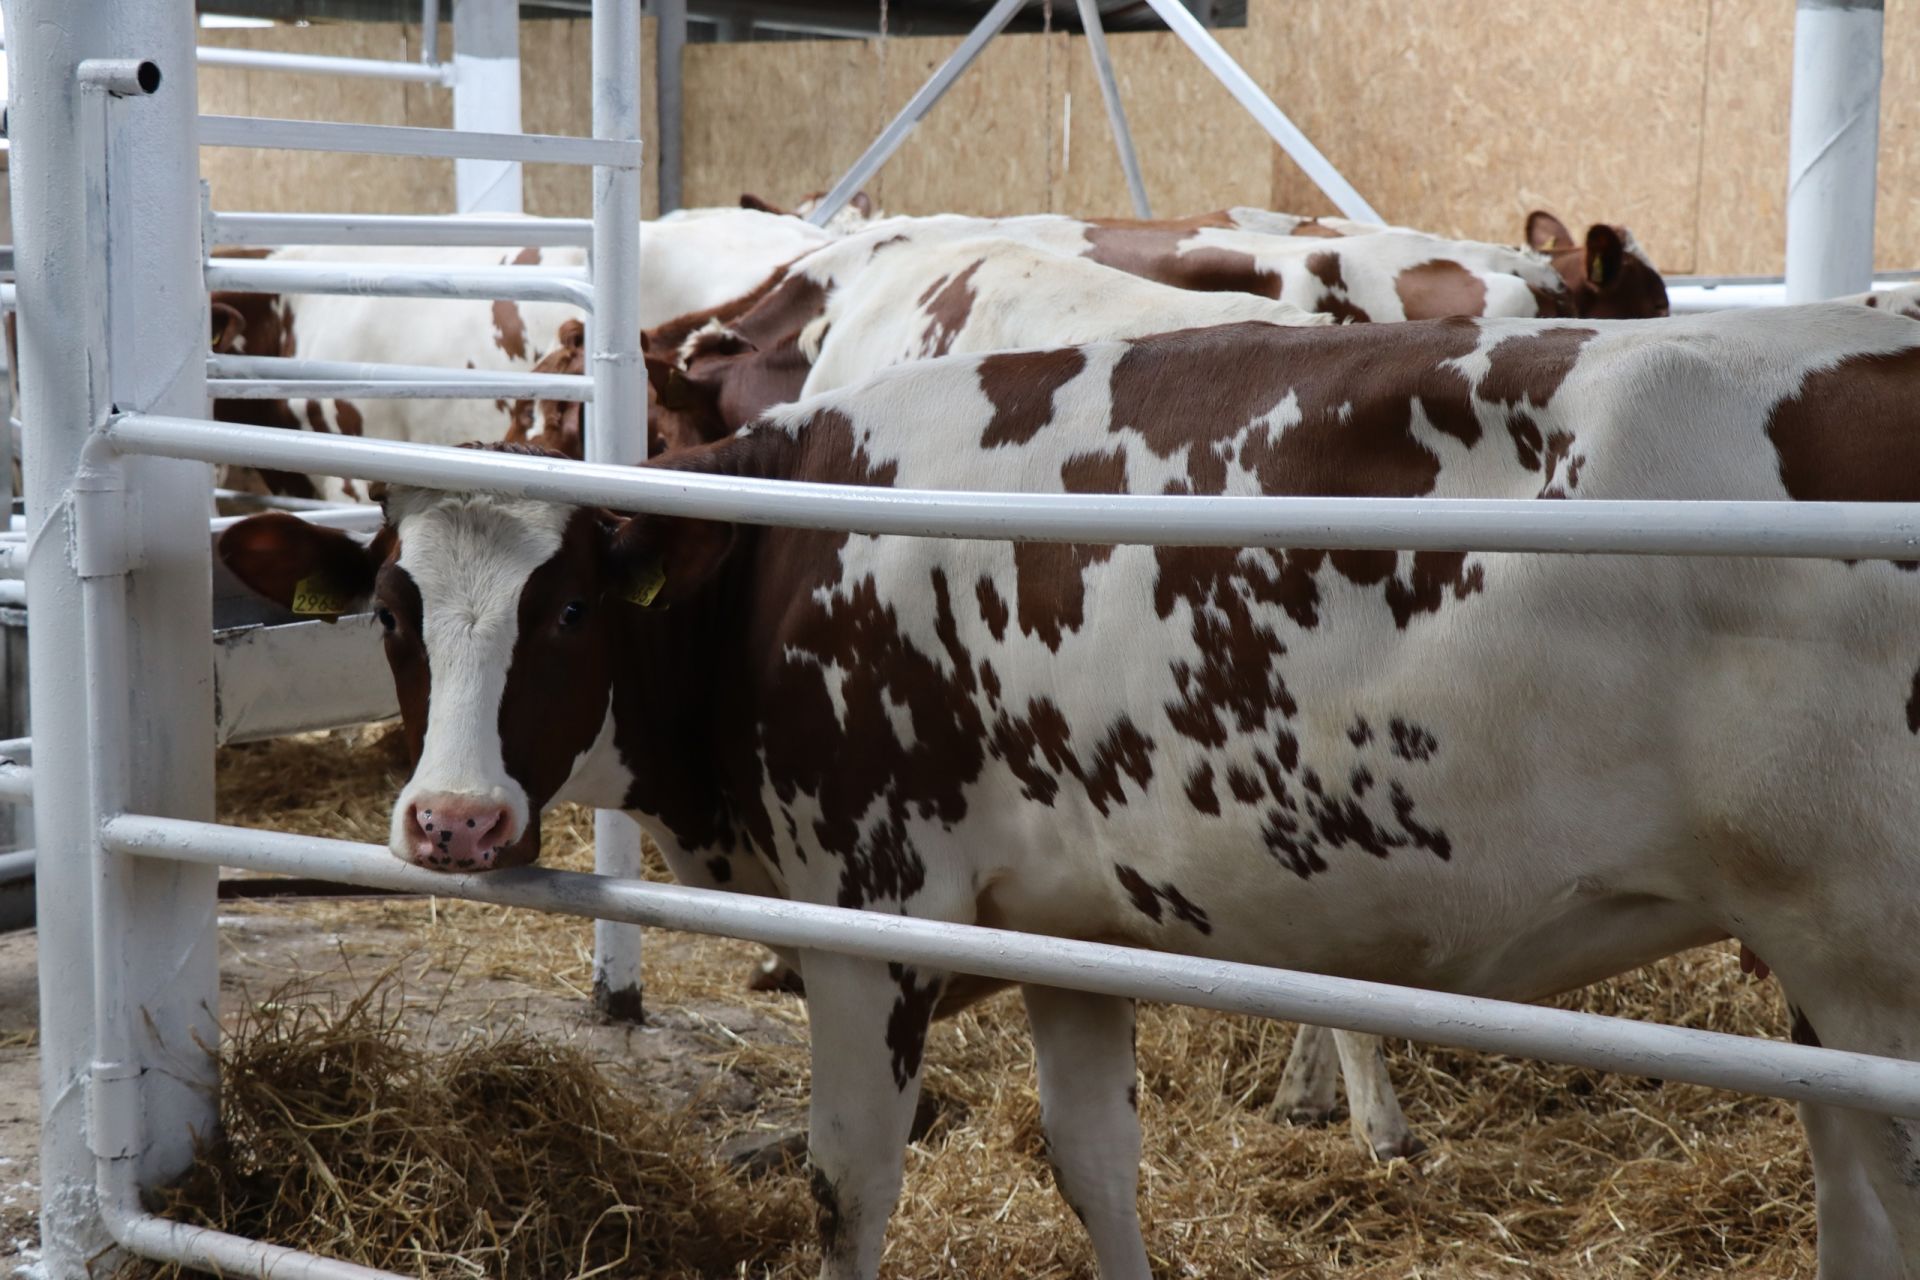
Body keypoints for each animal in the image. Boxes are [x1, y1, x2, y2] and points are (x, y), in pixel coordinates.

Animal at [224, 305, 1920, 1274]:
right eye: (393, 608)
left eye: (572, 605)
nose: (452, 822)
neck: (782, 551)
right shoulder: (1067, 930)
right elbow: (1097, 1168)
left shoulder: (877, 916)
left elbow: (849, 1189)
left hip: (1870, 962)